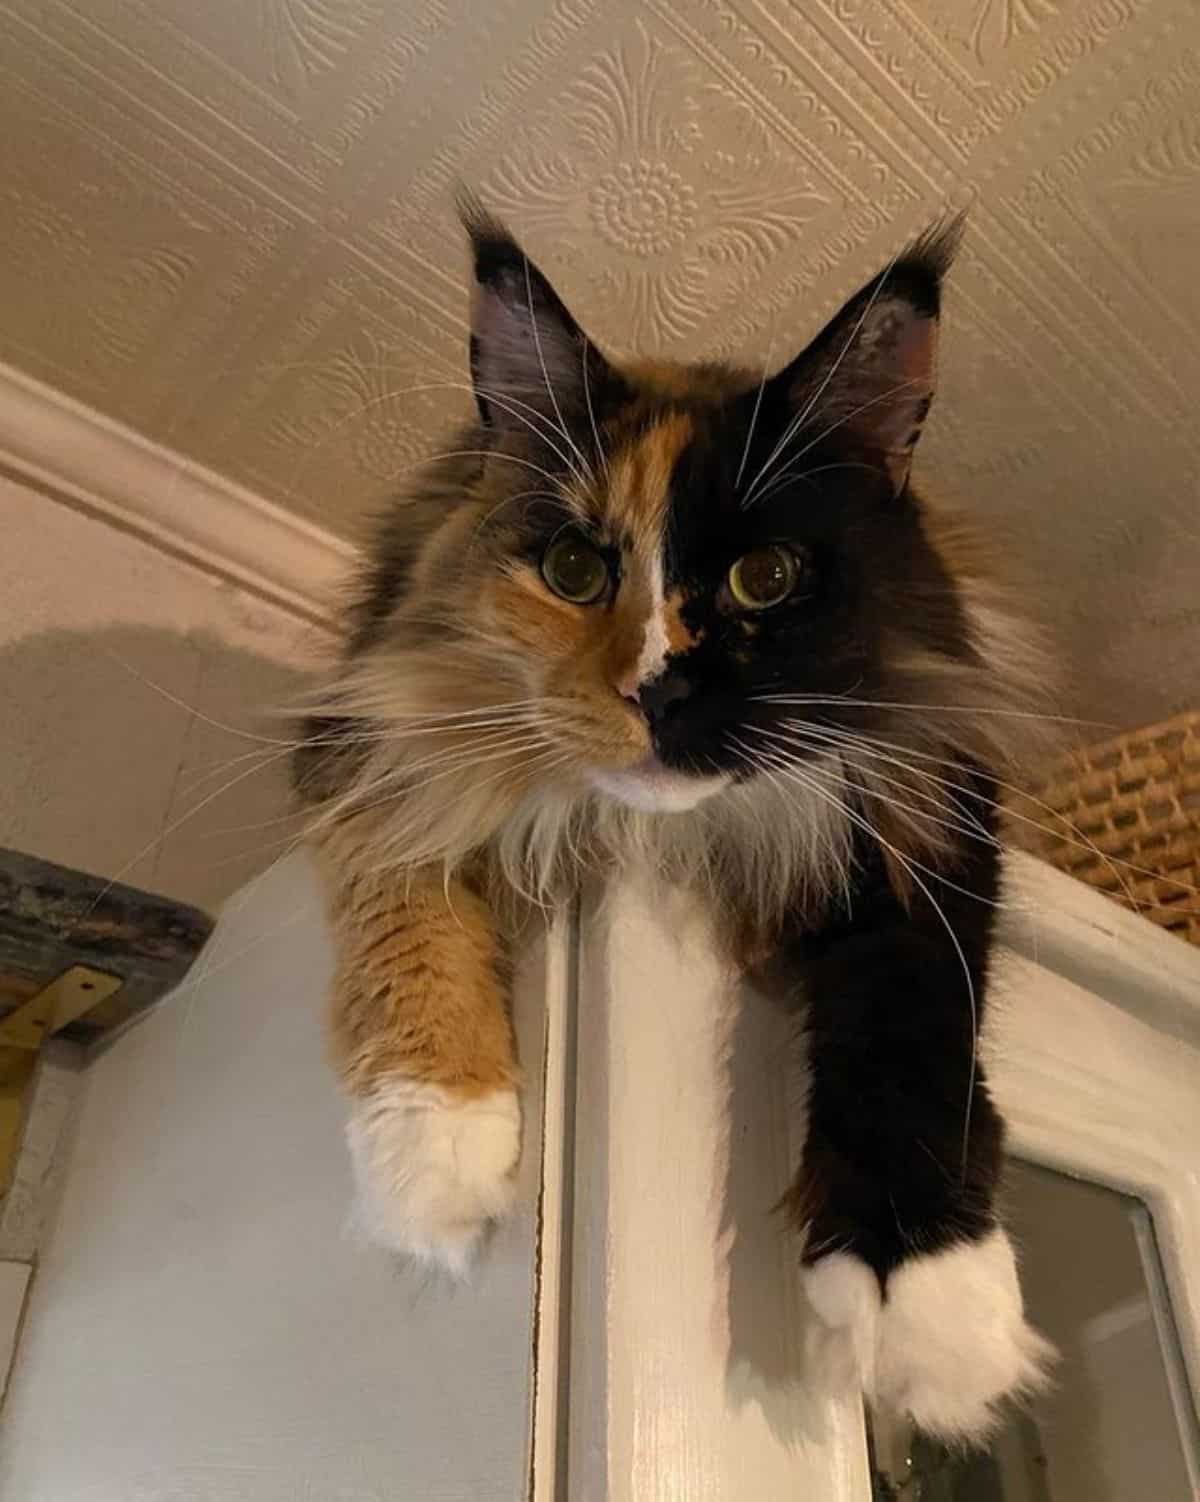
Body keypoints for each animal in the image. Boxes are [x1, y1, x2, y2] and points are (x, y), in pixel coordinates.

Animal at [295, 205, 1057, 1435]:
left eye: (766, 577)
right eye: (571, 567)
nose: (654, 694)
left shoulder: (930, 804)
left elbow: (917, 1017)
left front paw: (935, 1312)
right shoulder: (365, 733)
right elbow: (407, 897)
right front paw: (435, 1152)